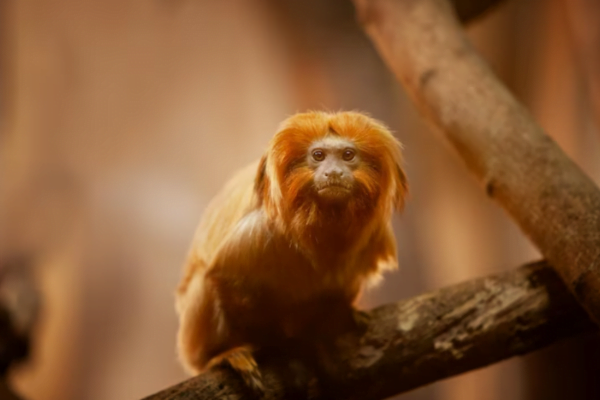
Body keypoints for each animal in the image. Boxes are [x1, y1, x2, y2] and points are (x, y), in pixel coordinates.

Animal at [175, 110, 408, 390]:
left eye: (347, 155)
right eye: (318, 155)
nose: (333, 173)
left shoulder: (373, 234)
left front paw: (336, 319)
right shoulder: (259, 229)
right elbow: (223, 277)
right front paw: (280, 346)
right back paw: (222, 355)